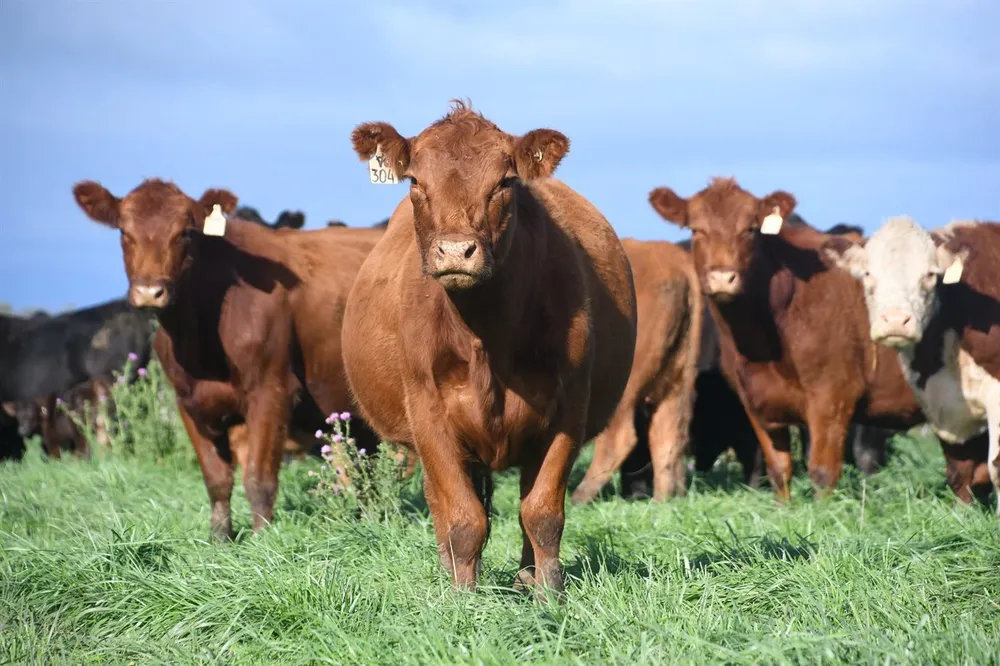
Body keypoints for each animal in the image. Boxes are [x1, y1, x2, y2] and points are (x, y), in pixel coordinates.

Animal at [71, 178, 384, 541]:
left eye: (185, 232)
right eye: (124, 231)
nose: (150, 292)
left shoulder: (270, 391)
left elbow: (259, 479)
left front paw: (263, 541)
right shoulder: (189, 402)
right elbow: (216, 480)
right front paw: (220, 539)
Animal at [342, 101, 638, 595]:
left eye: (504, 182)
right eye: (415, 181)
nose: (456, 251)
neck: (486, 334)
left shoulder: (568, 410)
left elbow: (542, 513)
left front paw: (549, 595)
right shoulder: (428, 413)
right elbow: (463, 519)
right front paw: (463, 598)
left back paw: (524, 578)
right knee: (442, 506)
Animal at [648, 177, 924, 500]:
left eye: (750, 229)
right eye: (695, 229)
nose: (722, 278)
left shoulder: (833, 396)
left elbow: (822, 472)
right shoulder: (755, 401)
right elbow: (778, 470)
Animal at [821, 216, 1000, 510]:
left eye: (930, 275)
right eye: (868, 274)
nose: (895, 321)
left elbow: (995, 468)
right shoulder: (942, 405)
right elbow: (964, 473)